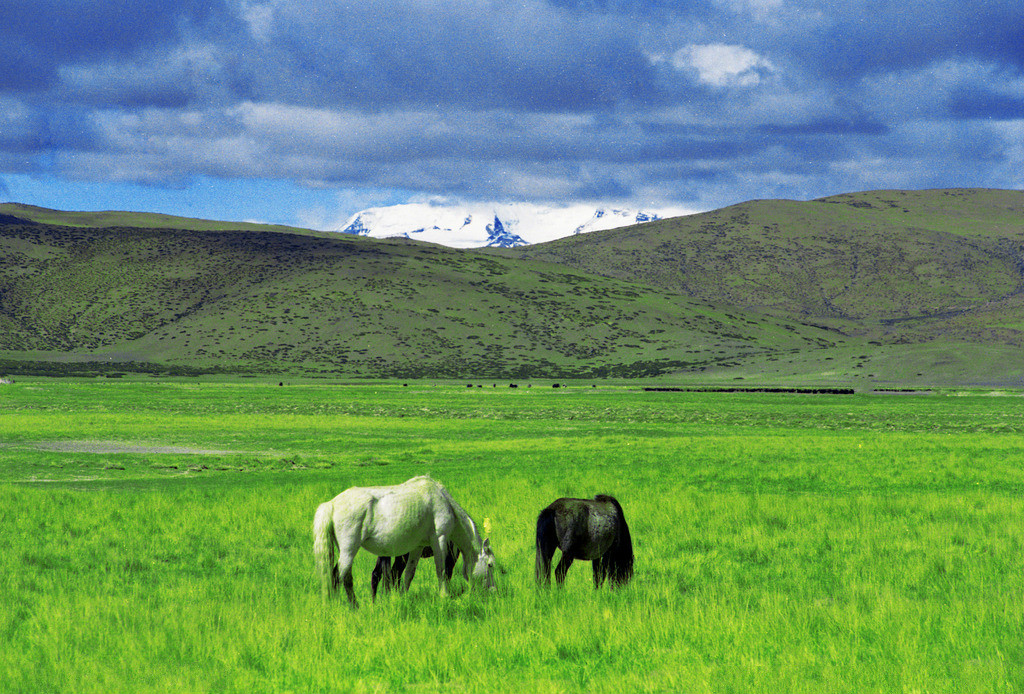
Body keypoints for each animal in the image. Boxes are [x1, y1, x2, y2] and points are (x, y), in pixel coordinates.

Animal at [315, 474, 499, 605]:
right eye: (490, 565)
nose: (493, 590)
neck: (442, 500)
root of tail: (331, 504)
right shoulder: (440, 540)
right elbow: (442, 571)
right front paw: (444, 596)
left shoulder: (417, 547)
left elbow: (409, 573)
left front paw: (403, 596)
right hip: (349, 550)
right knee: (341, 576)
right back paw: (351, 607)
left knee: (339, 576)